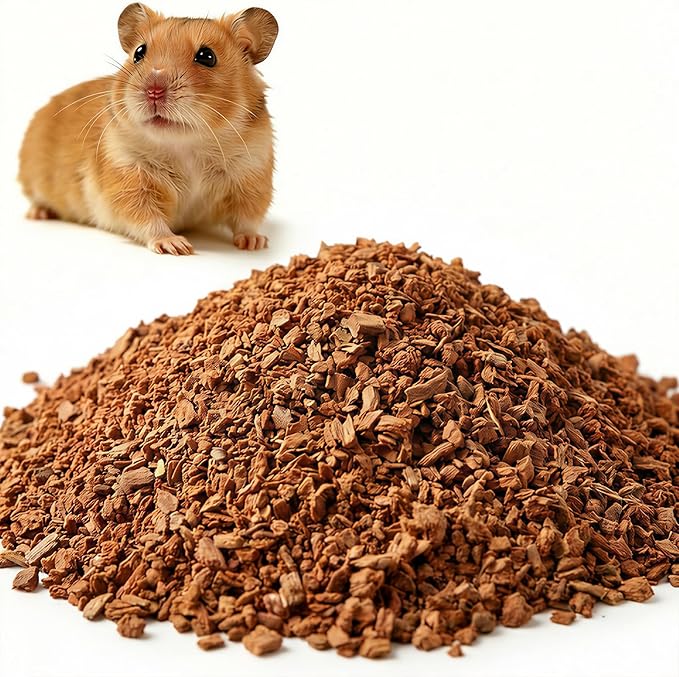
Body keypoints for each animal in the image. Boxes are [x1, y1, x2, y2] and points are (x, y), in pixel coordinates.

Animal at [18, 4, 278, 254]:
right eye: (139, 53)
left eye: (207, 56)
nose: (153, 90)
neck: (187, 146)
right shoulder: (128, 178)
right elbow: (147, 218)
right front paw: (176, 246)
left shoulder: (252, 176)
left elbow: (247, 218)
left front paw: (255, 243)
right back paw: (38, 213)